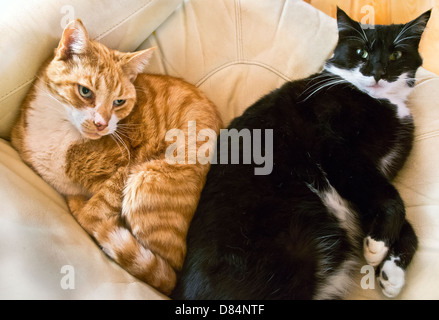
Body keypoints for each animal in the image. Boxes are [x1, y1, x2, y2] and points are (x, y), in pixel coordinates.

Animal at [11, 19, 223, 296]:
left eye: (119, 102)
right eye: (85, 92)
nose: (102, 124)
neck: (59, 129)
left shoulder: (125, 168)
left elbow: (93, 213)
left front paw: (87, 212)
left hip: (146, 178)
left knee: (165, 269)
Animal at [171, 8, 430, 300]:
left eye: (396, 55)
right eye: (361, 52)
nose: (378, 72)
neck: (384, 102)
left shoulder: (366, 183)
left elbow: (403, 220)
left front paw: (391, 272)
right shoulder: (340, 153)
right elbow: (393, 200)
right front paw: (377, 247)